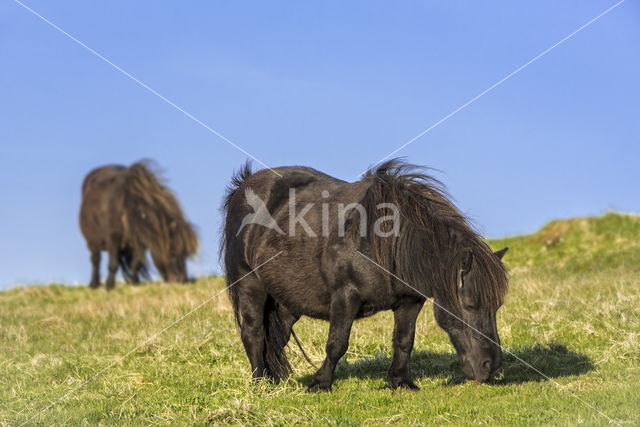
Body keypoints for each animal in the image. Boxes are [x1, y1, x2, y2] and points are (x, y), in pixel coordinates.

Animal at [79, 161, 198, 290]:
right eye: (172, 252)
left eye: (185, 255)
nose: (181, 280)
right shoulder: (113, 238)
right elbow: (113, 264)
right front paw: (109, 286)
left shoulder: (140, 242)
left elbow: (136, 263)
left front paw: (134, 283)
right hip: (92, 242)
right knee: (95, 260)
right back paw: (94, 284)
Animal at [222, 160, 508, 392]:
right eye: (470, 304)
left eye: (496, 306)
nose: (492, 367)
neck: (384, 241)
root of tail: (244, 186)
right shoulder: (345, 296)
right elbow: (337, 343)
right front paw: (320, 383)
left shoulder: (410, 302)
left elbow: (404, 341)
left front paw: (401, 382)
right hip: (250, 285)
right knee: (254, 333)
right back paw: (260, 384)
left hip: (288, 299)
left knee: (276, 337)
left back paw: (274, 381)